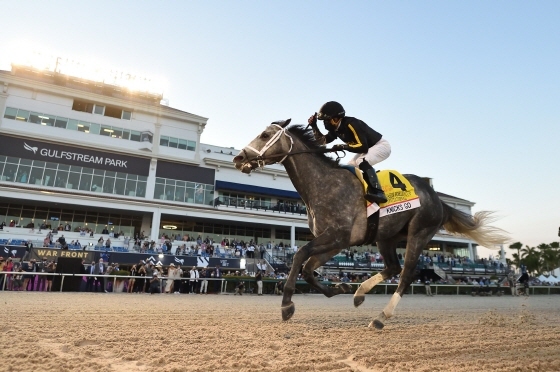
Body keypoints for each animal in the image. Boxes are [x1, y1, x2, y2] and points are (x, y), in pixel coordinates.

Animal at [232, 120, 508, 328]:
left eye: (265, 135)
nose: (239, 157)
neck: (322, 184)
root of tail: (438, 198)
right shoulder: (336, 242)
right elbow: (308, 269)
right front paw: (341, 286)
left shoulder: (337, 236)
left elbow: (299, 255)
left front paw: (287, 304)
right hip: (387, 237)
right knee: (393, 267)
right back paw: (359, 293)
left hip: (419, 232)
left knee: (407, 274)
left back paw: (381, 317)